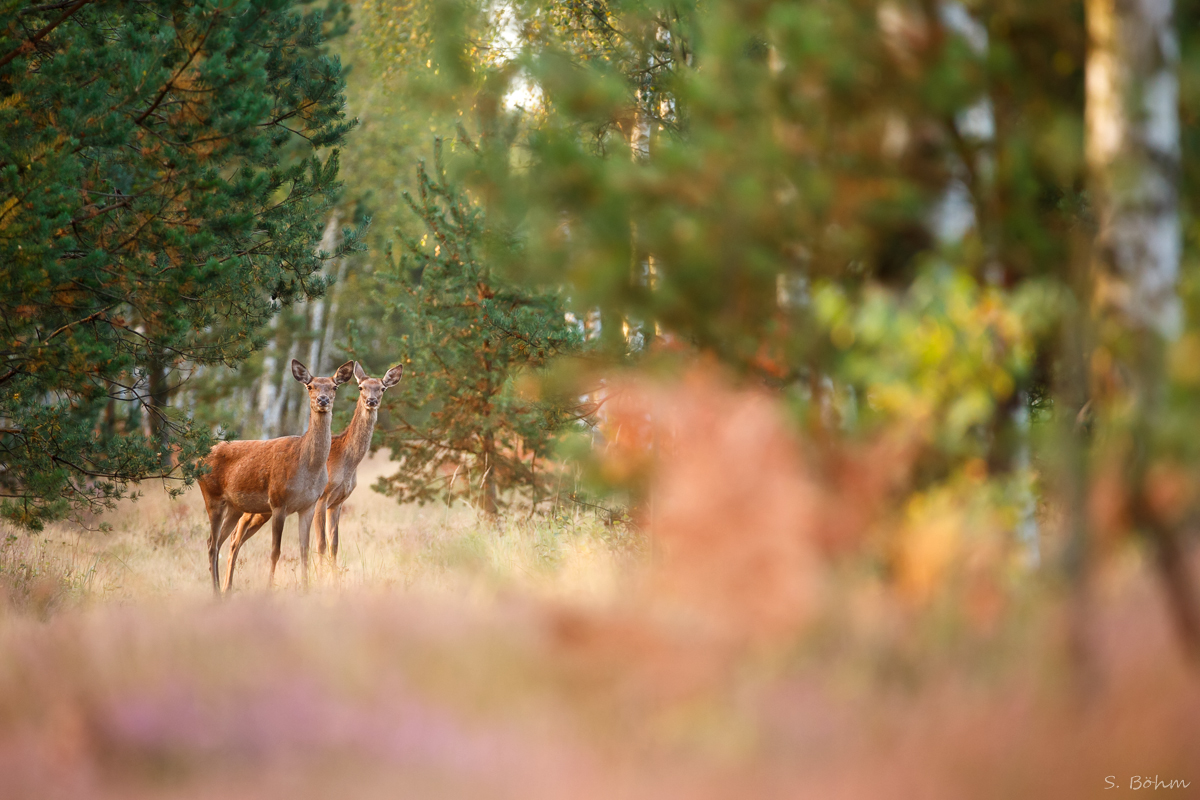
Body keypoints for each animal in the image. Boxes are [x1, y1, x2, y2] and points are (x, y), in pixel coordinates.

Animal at [196, 357, 352, 594]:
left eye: (334, 387)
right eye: (310, 386)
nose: (323, 400)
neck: (307, 467)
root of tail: (197, 461)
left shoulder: (308, 505)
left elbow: (304, 550)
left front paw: (306, 590)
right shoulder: (278, 501)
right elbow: (275, 551)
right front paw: (269, 589)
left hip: (235, 507)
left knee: (222, 541)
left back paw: (225, 589)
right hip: (212, 497)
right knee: (212, 544)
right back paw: (216, 592)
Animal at [225, 362, 408, 582]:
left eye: (382, 388)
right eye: (361, 387)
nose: (371, 401)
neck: (346, 463)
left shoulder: (338, 502)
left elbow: (334, 544)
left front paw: (334, 581)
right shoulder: (322, 498)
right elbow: (321, 543)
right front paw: (321, 579)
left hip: (263, 510)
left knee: (237, 536)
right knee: (235, 536)